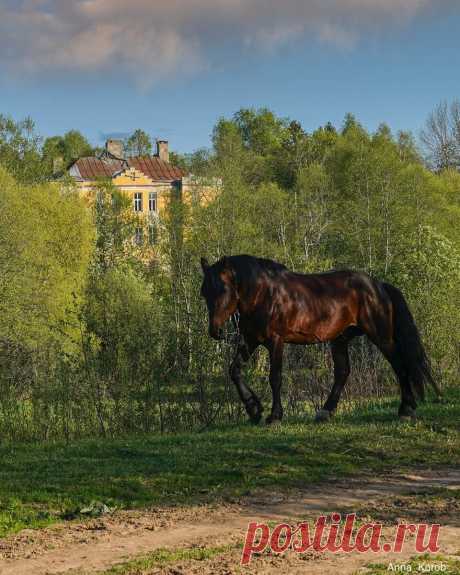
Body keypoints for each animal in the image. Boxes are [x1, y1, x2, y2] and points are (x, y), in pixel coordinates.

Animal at [199, 254, 440, 426]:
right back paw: (325, 411)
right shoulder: (249, 340)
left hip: (381, 336)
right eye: (204, 292)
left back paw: (406, 409)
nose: (216, 331)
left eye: (223, 288)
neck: (263, 293)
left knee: (399, 365)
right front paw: (254, 410)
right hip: (340, 340)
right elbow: (234, 370)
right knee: (342, 372)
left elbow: (275, 377)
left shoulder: (275, 341)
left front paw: (274, 416)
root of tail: (379, 286)